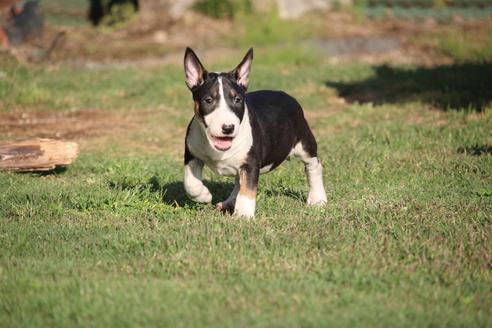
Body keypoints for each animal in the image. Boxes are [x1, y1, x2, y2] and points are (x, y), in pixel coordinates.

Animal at [182, 46, 326, 218]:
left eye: (237, 100)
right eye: (208, 100)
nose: (228, 128)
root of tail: (286, 95)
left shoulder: (250, 163)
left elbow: (248, 189)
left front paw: (243, 215)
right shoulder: (192, 154)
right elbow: (190, 181)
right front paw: (203, 196)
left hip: (304, 142)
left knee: (314, 166)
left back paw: (318, 198)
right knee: (238, 182)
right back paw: (228, 203)